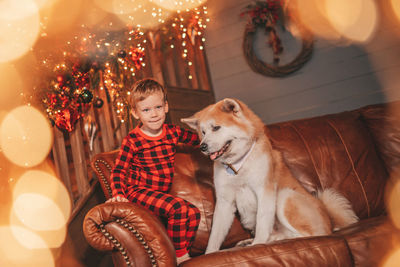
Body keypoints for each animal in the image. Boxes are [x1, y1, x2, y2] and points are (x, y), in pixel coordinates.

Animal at [183, 99, 358, 255]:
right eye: (203, 132)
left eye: (216, 128)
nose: (202, 146)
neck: (238, 165)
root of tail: (330, 223)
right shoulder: (225, 201)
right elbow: (215, 234)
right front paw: (209, 254)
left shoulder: (264, 191)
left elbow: (262, 221)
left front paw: (259, 244)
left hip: (284, 196)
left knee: (303, 235)